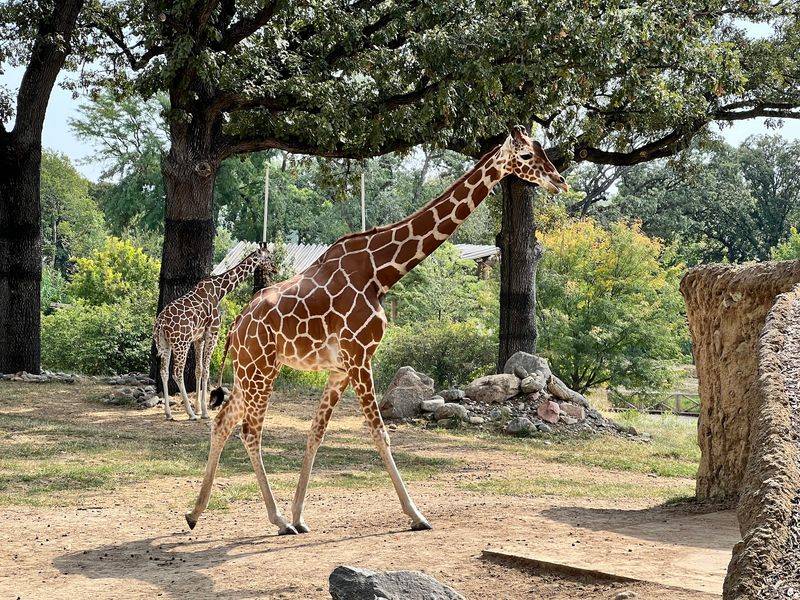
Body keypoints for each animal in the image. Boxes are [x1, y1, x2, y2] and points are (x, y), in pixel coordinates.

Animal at [153, 244, 276, 421]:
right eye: (268, 257)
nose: (275, 268)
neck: (220, 290)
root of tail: (160, 324)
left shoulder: (198, 338)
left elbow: (198, 370)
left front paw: (199, 408)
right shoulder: (212, 333)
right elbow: (206, 370)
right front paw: (204, 412)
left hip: (165, 344)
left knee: (164, 371)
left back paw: (169, 413)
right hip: (181, 343)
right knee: (177, 373)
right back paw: (190, 414)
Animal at [187, 126, 568, 534]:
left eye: (542, 150)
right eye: (527, 156)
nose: (559, 180)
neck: (381, 273)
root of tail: (235, 328)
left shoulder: (340, 369)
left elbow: (316, 432)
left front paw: (301, 515)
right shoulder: (359, 358)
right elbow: (380, 433)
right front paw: (416, 515)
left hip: (251, 372)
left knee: (224, 421)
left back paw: (196, 514)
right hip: (260, 370)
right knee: (249, 431)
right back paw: (275, 519)